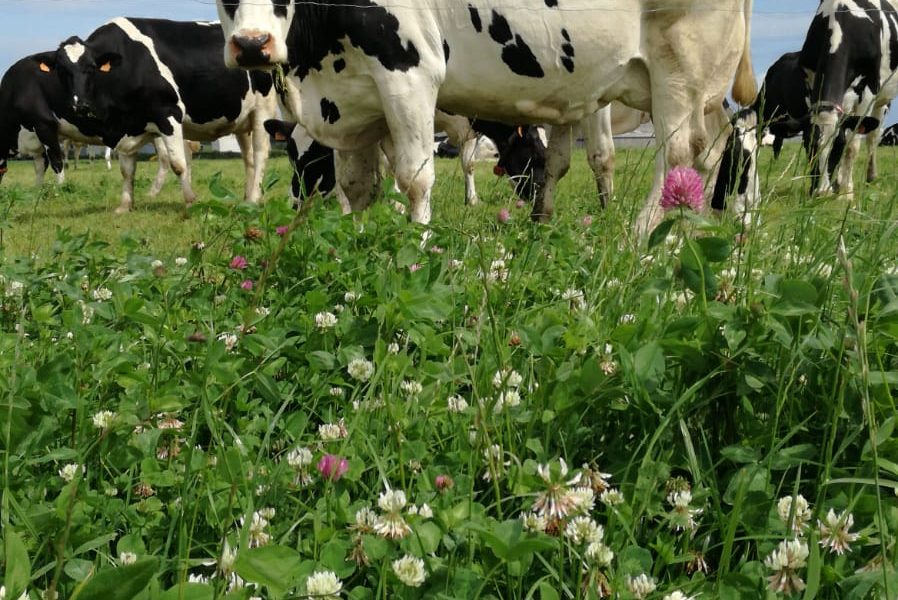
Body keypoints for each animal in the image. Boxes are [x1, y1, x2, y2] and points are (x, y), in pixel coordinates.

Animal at [55, 19, 277, 213]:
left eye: (91, 68)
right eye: (62, 71)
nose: (79, 105)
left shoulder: (169, 114)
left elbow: (178, 164)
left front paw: (190, 201)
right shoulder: (126, 126)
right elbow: (127, 170)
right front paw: (125, 206)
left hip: (263, 109)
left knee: (261, 153)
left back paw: (254, 199)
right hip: (243, 119)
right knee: (249, 158)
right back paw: (247, 200)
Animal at [216, 0, 756, 237]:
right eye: (293, 155)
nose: (251, 45)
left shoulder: (408, 72)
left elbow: (414, 178)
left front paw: (415, 245)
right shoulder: (354, 96)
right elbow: (357, 185)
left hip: (680, 67)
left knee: (679, 153)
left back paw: (644, 234)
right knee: (717, 150)